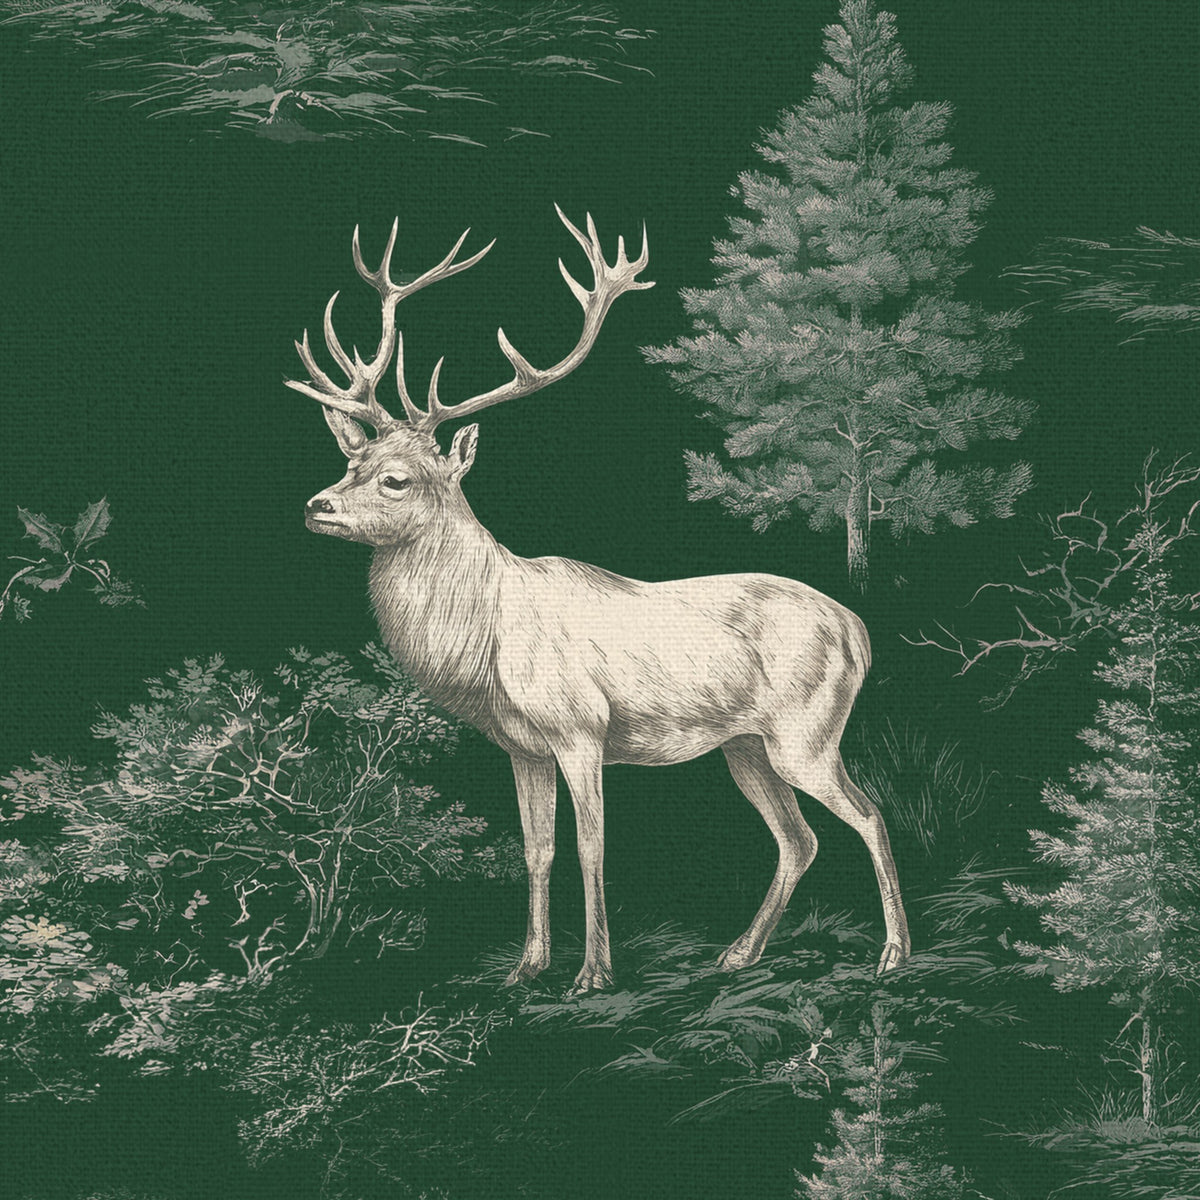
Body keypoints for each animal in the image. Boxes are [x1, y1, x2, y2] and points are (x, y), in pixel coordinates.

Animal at [288, 205, 911, 995]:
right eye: (351, 460)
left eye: (397, 479)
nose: (317, 506)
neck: (487, 640)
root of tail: (858, 630)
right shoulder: (520, 746)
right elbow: (537, 851)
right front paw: (526, 966)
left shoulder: (581, 728)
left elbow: (591, 848)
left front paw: (593, 973)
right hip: (746, 745)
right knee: (799, 838)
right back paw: (738, 953)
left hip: (808, 732)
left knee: (870, 813)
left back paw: (893, 954)